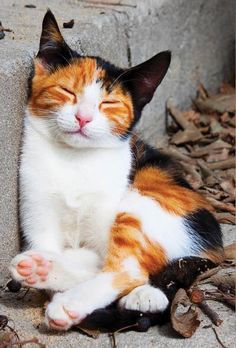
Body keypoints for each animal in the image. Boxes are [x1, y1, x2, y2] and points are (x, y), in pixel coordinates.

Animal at [9, 10, 223, 332]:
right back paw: (40, 268)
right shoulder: (37, 214)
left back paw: (76, 303)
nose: (83, 118)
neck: (76, 161)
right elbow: (77, 253)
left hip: (145, 202)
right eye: (67, 91)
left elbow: (110, 260)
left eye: (107, 103)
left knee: (127, 269)